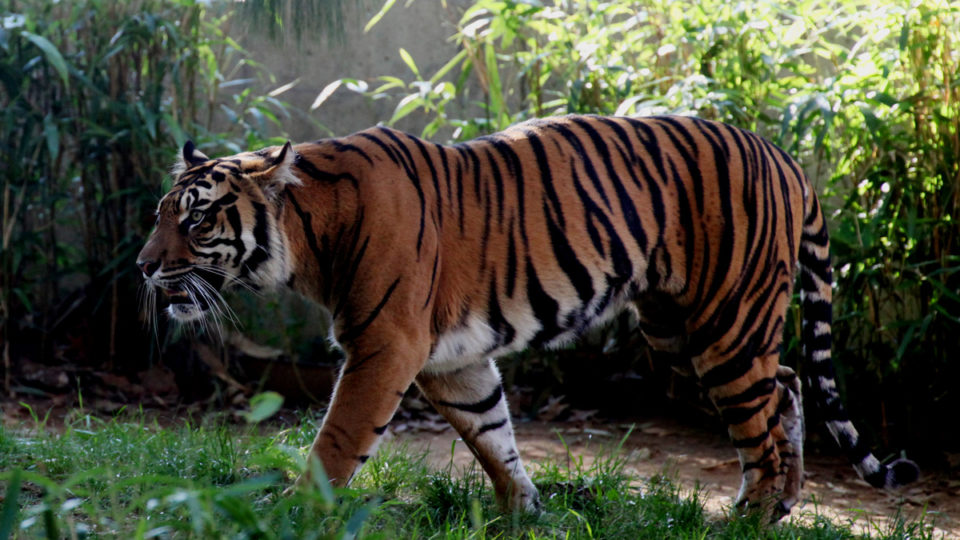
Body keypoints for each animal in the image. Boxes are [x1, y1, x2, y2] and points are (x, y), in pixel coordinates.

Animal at [135, 114, 916, 520]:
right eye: (159, 215)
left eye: (196, 219)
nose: (143, 266)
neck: (309, 237)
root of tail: (783, 155)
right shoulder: (452, 360)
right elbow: (492, 434)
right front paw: (527, 511)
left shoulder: (386, 347)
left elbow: (337, 441)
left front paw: (291, 511)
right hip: (681, 330)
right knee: (786, 385)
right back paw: (780, 504)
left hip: (725, 322)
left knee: (764, 417)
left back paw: (748, 521)